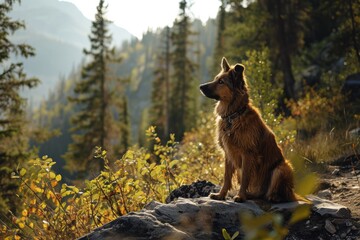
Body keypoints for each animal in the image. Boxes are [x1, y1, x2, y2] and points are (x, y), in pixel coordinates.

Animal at [200, 57, 300, 202]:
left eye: (221, 82)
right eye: (216, 78)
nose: (200, 87)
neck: (234, 115)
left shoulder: (247, 154)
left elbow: (245, 179)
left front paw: (240, 196)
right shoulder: (228, 154)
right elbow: (226, 178)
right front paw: (221, 195)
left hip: (282, 167)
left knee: (278, 193)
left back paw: (272, 197)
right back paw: (252, 195)